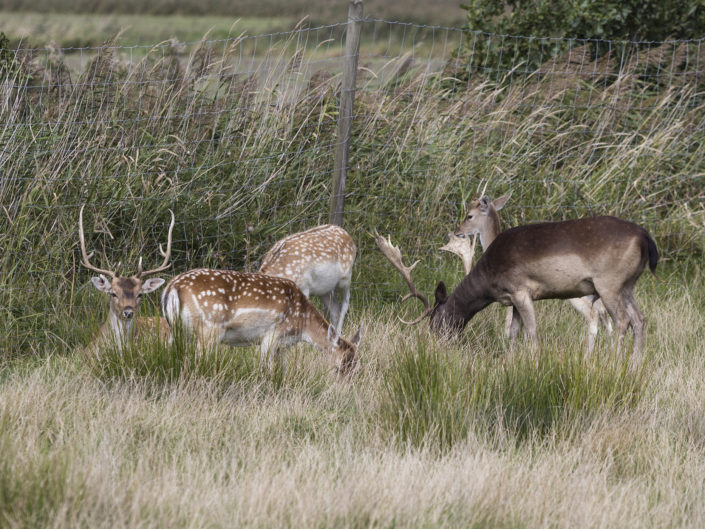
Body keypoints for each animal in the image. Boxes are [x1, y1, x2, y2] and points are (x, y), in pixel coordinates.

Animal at [160, 268, 362, 374]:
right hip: (209, 328)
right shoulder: (272, 335)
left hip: (177, 329)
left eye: (357, 367)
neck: (301, 323)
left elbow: (284, 369)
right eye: (339, 367)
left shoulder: (282, 346)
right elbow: (267, 368)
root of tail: (172, 287)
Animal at [376, 215, 658, 359]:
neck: (489, 278)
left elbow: (531, 333)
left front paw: (532, 364)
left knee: (622, 319)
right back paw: (635, 363)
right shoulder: (511, 298)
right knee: (639, 317)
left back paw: (616, 361)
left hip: (609, 282)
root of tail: (646, 237)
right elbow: (512, 333)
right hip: (628, 285)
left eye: (435, 321)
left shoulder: (521, 290)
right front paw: (510, 363)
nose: (435, 348)